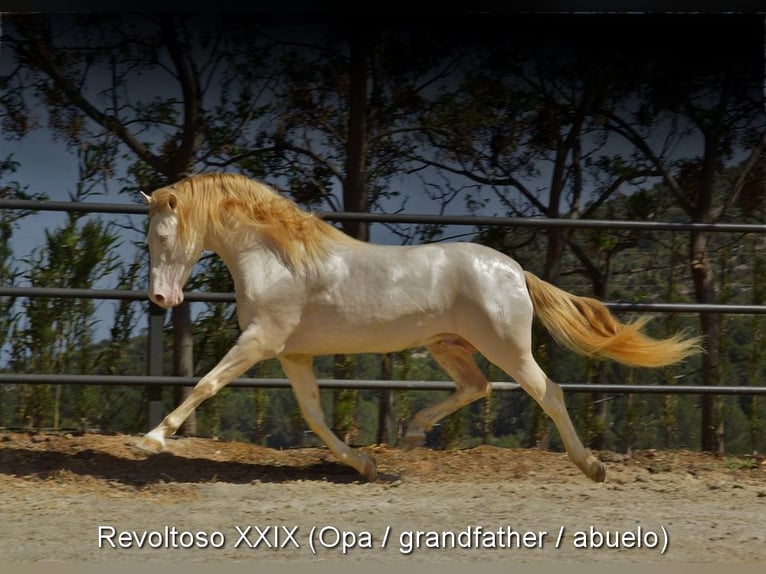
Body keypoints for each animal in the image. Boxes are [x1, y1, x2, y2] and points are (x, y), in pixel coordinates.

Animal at [136, 172, 699, 483]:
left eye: (162, 237)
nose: (161, 299)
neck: (280, 261)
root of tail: (515, 271)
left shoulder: (259, 342)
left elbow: (207, 384)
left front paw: (151, 440)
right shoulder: (293, 355)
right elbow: (315, 417)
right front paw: (364, 465)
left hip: (508, 348)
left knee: (549, 393)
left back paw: (593, 467)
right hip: (450, 347)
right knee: (477, 387)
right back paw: (413, 432)